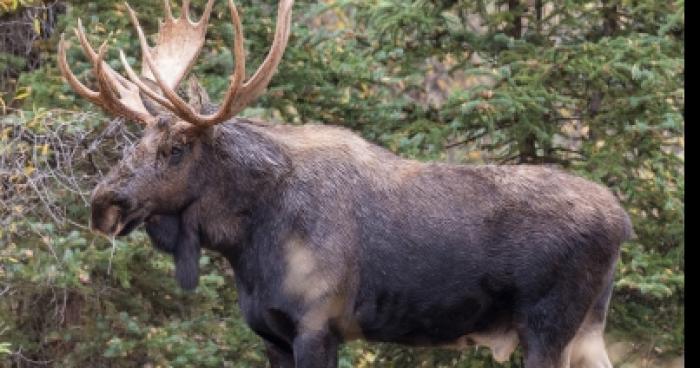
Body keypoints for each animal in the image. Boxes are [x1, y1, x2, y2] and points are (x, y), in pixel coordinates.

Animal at [56, 1, 636, 366]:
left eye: (175, 149)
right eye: (136, 141)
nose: (103, 204)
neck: (247, 243)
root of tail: (622, 219)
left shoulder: (318, 325)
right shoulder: (270, 334)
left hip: (548, 324)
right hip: (587, 328)